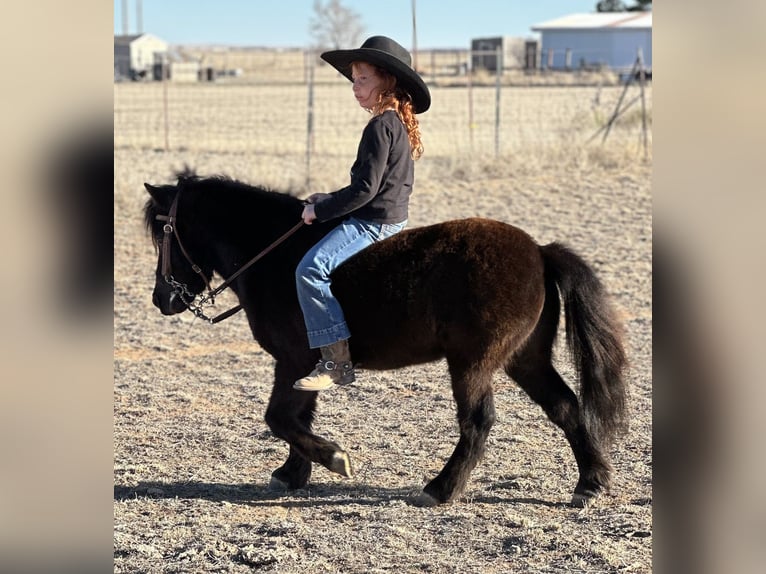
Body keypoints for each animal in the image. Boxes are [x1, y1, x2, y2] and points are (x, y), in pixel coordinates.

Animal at [143, 172, 628, 507]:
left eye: (165, 235)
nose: (162, 298)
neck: (271, 255)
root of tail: (539, 252)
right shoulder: (304, 368)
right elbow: (297, 418)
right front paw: (292, 473)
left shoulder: (292, 361)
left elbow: (280, 418)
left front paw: (333, 458)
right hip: (525, 359)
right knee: (565, 407)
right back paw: (590, 483)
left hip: (471, 363)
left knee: (478, 422)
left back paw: (440, 489)